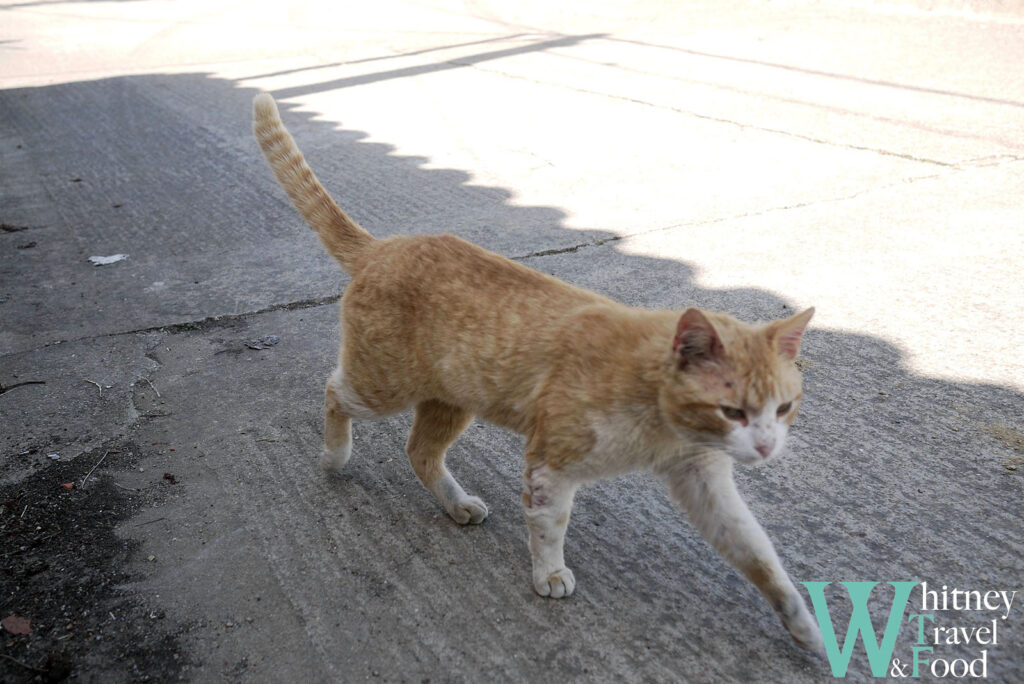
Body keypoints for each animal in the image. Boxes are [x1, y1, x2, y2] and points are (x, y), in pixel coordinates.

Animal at [253, 93, 823, 651]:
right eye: (733, 411)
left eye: (784, 408)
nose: (767, 448)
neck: (657, 418)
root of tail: (385, 245)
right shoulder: (550, 463)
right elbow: (551, 525)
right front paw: (549, 574)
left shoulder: (702, 479)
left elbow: (757, 551)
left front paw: (800, 620)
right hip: (382, 386)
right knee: (334, 391)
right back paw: (335, 457)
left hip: (450, 402)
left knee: (420, 452)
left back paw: (456, 504)